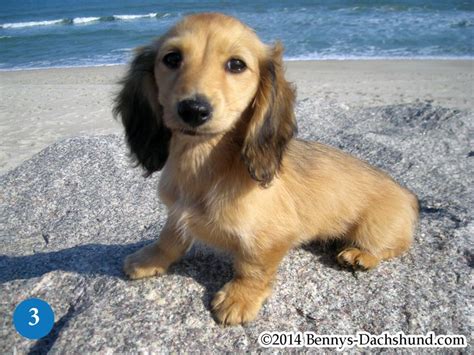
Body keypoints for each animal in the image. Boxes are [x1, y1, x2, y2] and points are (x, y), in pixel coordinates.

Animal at [115, 13, 418, 326]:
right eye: (172, 58)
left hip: (375, 228)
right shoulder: (177, 213)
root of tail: (407, 194)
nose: (194, 110)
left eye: (237, 64)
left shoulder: (270, 239)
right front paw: (150, 259)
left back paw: (360, 256)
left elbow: (252, 267)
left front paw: (240, 297)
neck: (201, 164)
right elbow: (169, 238)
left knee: (393, 246)